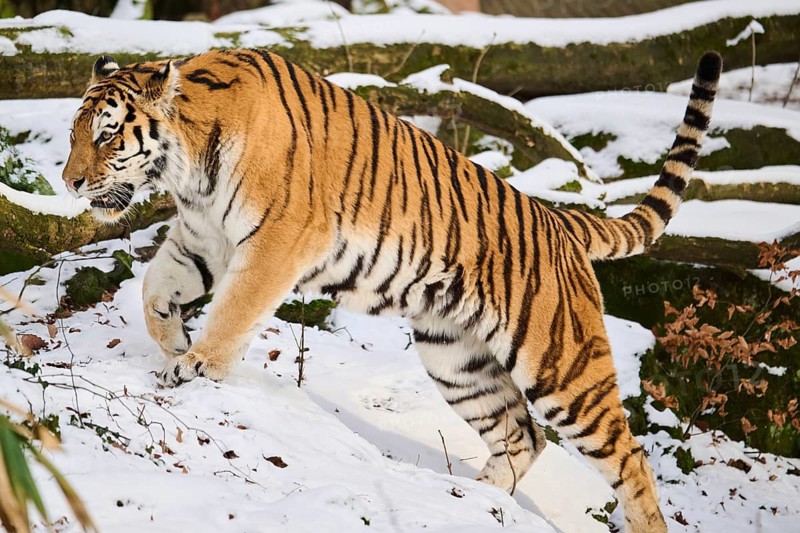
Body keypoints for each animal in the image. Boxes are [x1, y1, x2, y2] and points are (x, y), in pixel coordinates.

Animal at [62, 48, 722, 532]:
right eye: (74, 134)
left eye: (107, 136)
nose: (68, 183)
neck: (186, 166)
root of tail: (561, 220)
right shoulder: (204, 239)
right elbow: (155, 289)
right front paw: (174, 342)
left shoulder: (275, 241)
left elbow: (233, 311)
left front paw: (196, 364)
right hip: (455, 356)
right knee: (523, 434)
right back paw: (472, 500)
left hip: (561, 366)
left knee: (629, 458)